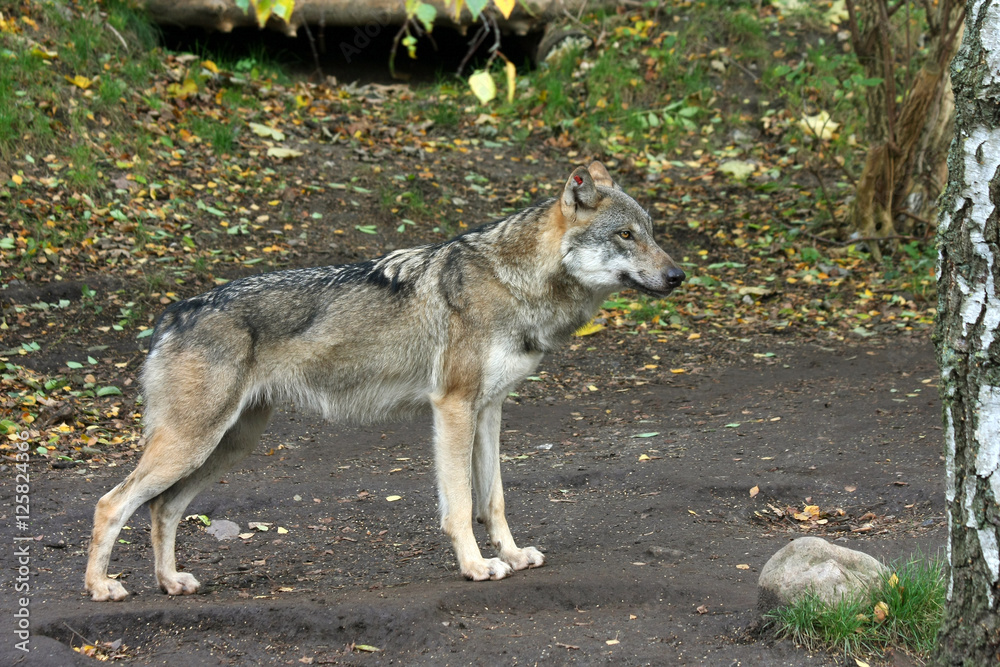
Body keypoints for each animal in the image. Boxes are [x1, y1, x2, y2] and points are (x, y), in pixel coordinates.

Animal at [85, 161, 685, 601]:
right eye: (626, 235)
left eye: (653, 234)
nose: (678, 275)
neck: (515, 283)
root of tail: (173, 313)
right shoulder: (453, 408)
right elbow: (460, 505)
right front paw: (477, 566)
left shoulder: (490, 410)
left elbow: (494, 500)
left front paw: (512, 556)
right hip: (193, 445)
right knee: (111, 504)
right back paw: (101, 587)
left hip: (227, 447)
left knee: (162, 508)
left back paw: (170, 582)